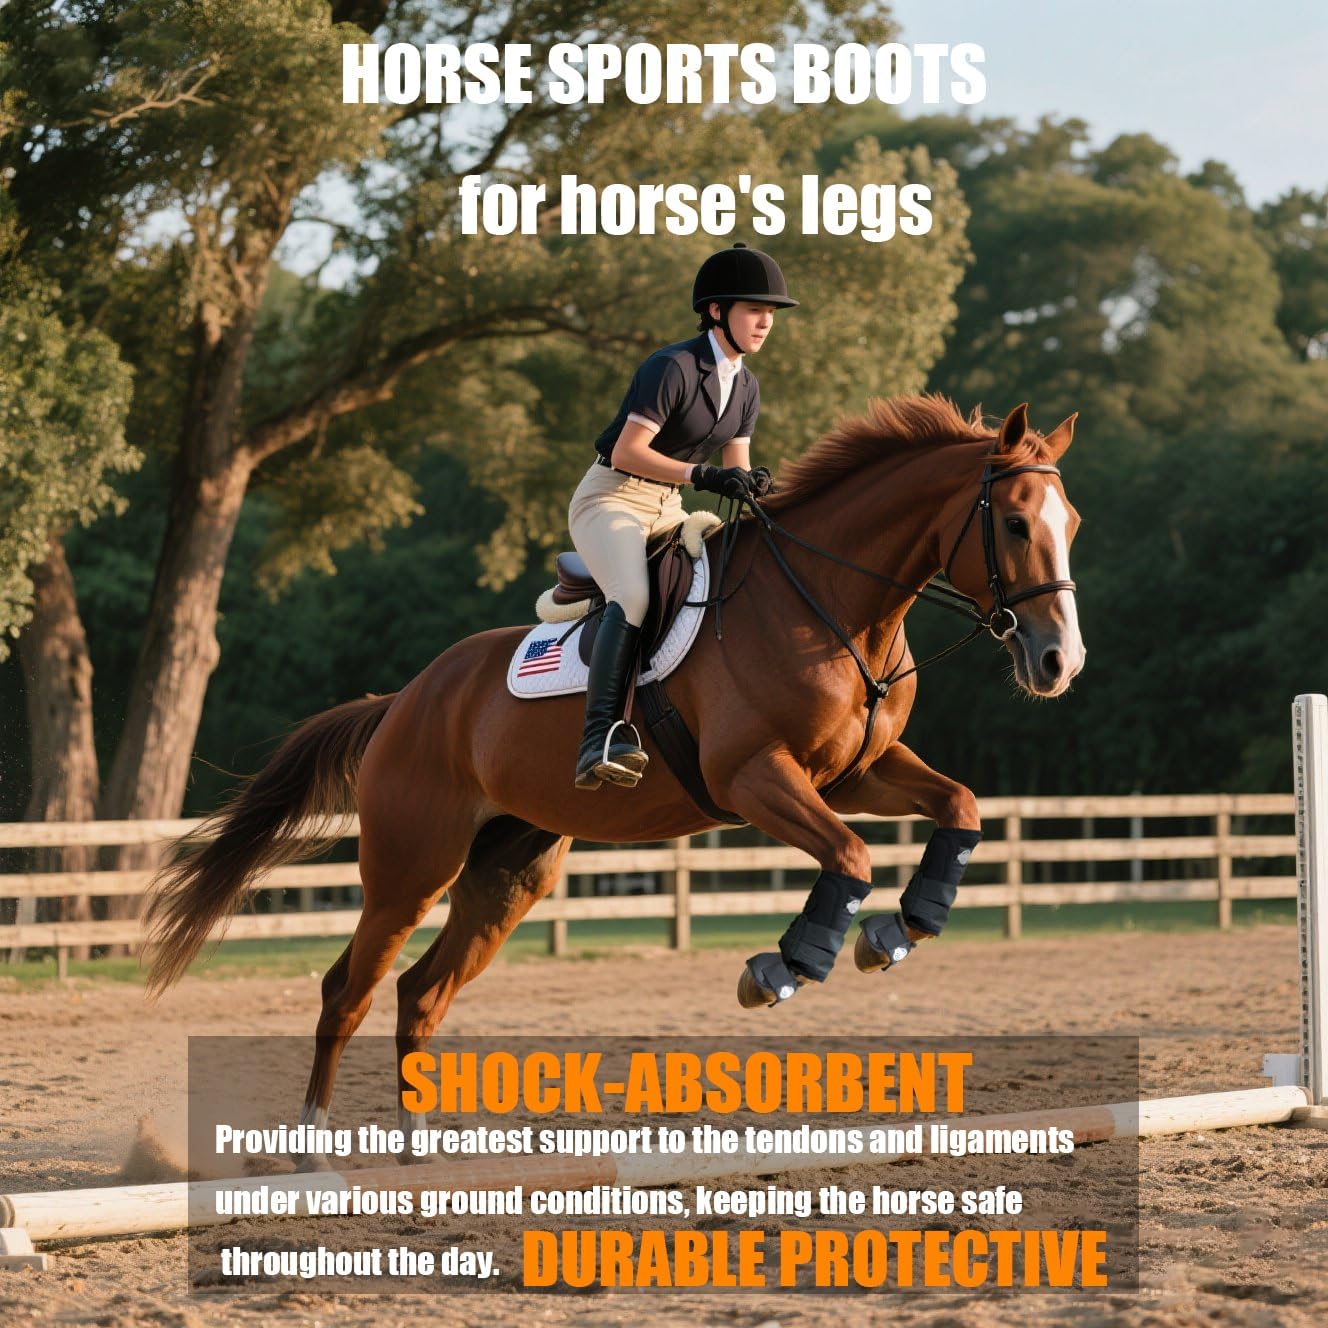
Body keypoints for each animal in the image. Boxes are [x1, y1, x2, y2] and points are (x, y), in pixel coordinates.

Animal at [142, 394, 1083, 1163]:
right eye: (1013, 524)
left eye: (1069, 521)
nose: (1058, 662)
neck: (832, 602)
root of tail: (405, 699)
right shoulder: (754, 778)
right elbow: (849, 857)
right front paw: (785, 966)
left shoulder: (856, 772)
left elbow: (958, 807)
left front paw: (899, 929)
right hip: (412, 867)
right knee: (349, 989)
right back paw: (308, 1146)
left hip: (509, 873)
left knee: (420, 991)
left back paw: (418, 1148)